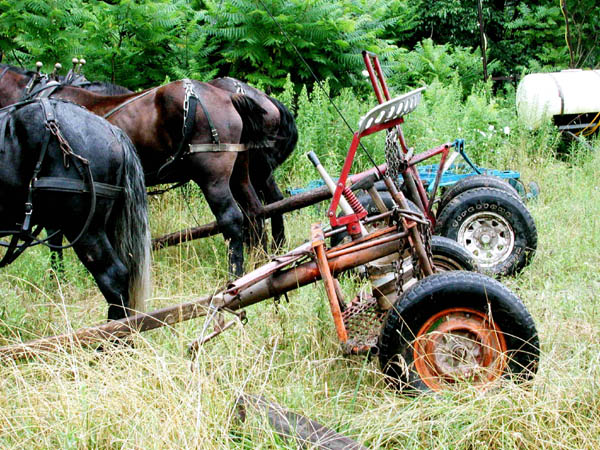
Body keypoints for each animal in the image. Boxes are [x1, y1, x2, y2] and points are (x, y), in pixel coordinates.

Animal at [0, 63, 268, 276]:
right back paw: (261, 261)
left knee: (231, 219)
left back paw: (235, 273)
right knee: (255, 212)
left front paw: (58, 278)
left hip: (213, 178)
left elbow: (55, 240)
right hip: (239, 175)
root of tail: (229, 98)